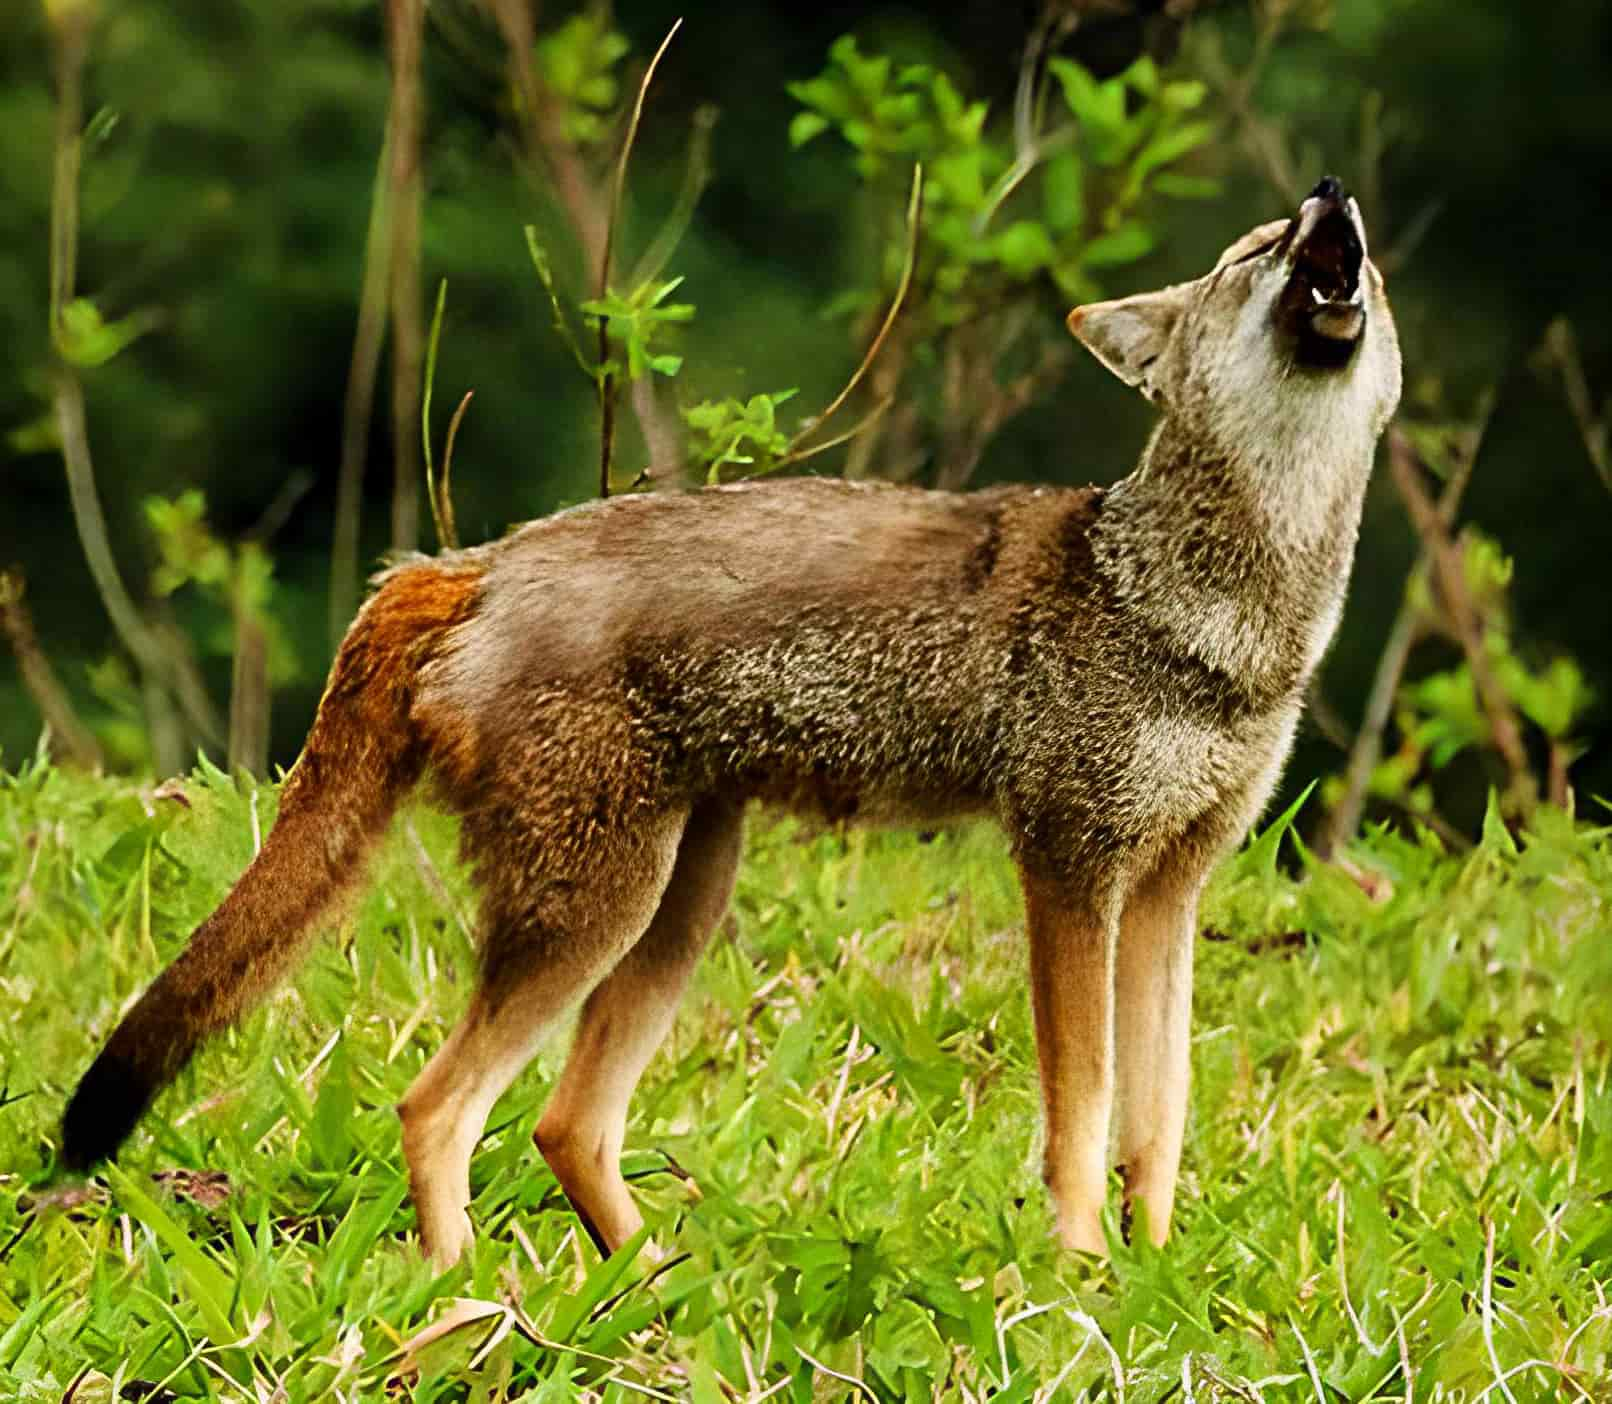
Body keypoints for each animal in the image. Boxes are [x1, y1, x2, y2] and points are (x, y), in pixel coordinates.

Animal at [62, 175, 1399, 1263]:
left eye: (1357, 252)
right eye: (1261, 246)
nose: (1333, 197)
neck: (1208, 618)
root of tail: (471, 563)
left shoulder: (1171, 890)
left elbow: (1155, 1125)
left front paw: (1152, 1276)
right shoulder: (1068, 868)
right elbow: (1081, 1117)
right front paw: (1077, 1275)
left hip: (678, 904)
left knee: (562, 1123)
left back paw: (649, 1287)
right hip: (599, 912)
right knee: (434, 1106)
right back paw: (470, 1301)